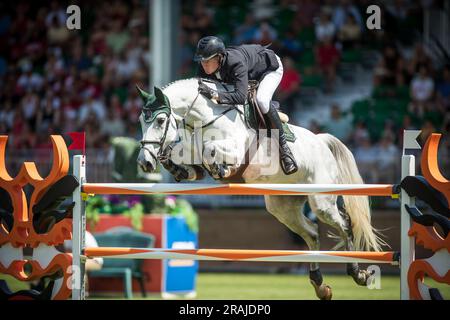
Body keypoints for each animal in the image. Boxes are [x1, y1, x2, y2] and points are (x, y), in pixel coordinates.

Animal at [135, 78, 384, 300]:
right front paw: (173, 164)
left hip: (321, 201)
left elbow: (210, 149)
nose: (144, 162)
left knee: (345, 225)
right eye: (140, 121)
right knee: (312, 233)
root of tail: (321, 141)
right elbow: (189, 165)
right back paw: (320, 285)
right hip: (282, 206)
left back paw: (358, 274)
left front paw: (221, 169)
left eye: (160, 120)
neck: (204, 118)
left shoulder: (234, 150)